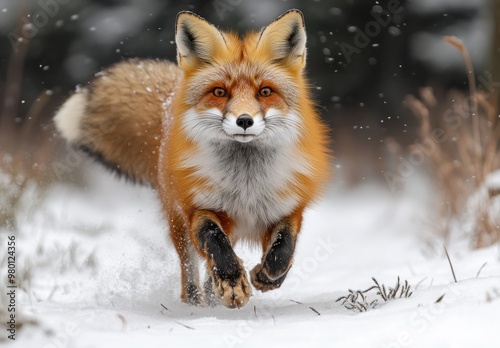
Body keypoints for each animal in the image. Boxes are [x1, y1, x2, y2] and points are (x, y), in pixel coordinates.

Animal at [54, 8, 330, 308]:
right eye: (220, 92)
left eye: (265, 91)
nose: (244, 121)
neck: (247, 185)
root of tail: (169, 104)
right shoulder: (198, 208)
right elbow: (215, 243)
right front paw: (233, 282)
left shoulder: (288, 207)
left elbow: (284, 248)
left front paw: (266, 276)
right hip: (178, 223)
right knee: (190, 271)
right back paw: (197, 302)